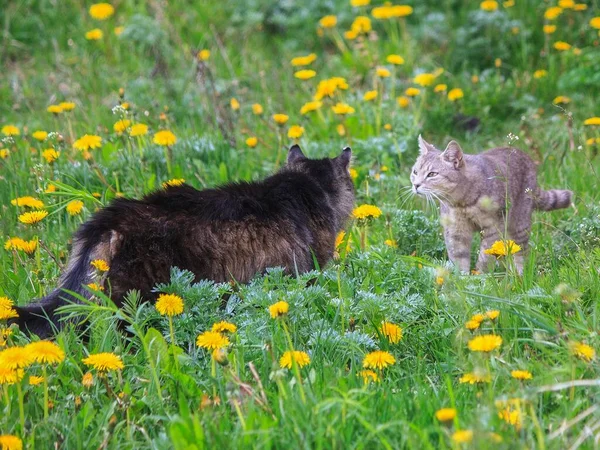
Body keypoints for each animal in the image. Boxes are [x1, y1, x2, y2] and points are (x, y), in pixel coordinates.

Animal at [412, 135, 572, 272]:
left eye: (432, 174)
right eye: (415, 172)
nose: (415, 185)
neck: (462, 202)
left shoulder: (493, 227)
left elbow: (485, 257)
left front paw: (482, 278)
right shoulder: (455, 231)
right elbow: (459, 260)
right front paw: (463, 282)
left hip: (519, 224)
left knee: (521, 253)